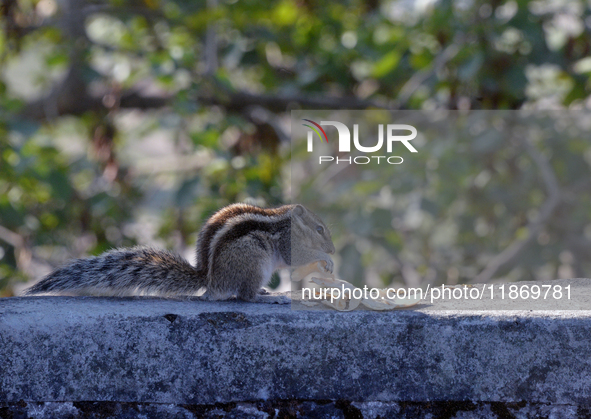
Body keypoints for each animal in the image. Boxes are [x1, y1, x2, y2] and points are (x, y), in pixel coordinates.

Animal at [23, 203, 336, 302]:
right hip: (255, 260)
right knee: (244, 295)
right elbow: (297, 257)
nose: (333, 247)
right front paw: (326, 260)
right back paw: (266, 297)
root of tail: (210, 280)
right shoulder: (286, 242)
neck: (287, 220)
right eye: (320, 228)